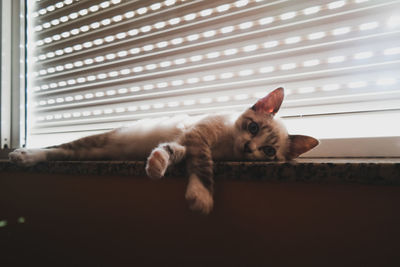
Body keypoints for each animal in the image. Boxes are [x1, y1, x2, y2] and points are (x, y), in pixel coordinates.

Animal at [8, 87, 318, 215]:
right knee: (57, 148)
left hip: (88, 153)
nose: (248, 147)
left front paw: (156, 164)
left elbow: (170, 151)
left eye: (268, 151)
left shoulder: (186, 142)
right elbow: (204, 165)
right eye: (252, 127)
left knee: (65, 153)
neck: (226, 143)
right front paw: (202, 196)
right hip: (92, 143)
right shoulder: (198, 138)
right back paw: (22, 155)